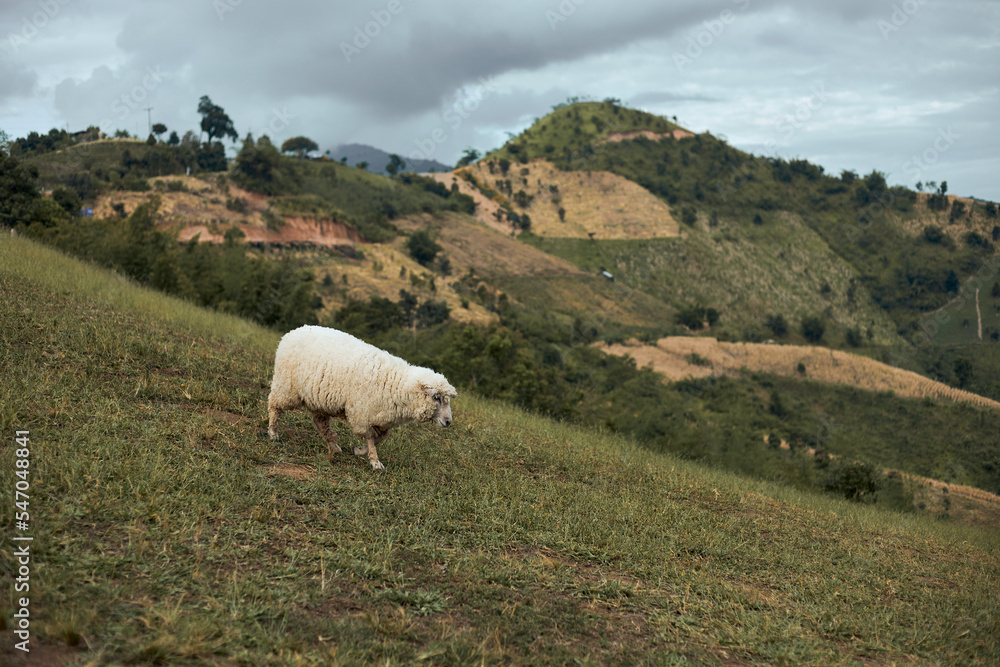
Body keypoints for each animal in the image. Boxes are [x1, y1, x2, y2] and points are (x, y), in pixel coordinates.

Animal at [264, 326, 456, 472]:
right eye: (437, 398)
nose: (448, 422)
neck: (397, 384)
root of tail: (294, 331)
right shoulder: (363, 413)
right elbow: (371, 438)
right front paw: (375, 462)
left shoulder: (381, 417)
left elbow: (380, 438)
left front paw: (359, 451)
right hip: (286, 387)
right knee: (274, 405)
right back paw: (273, 432)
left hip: (318, 399)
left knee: (320, 422)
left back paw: (333, 446)